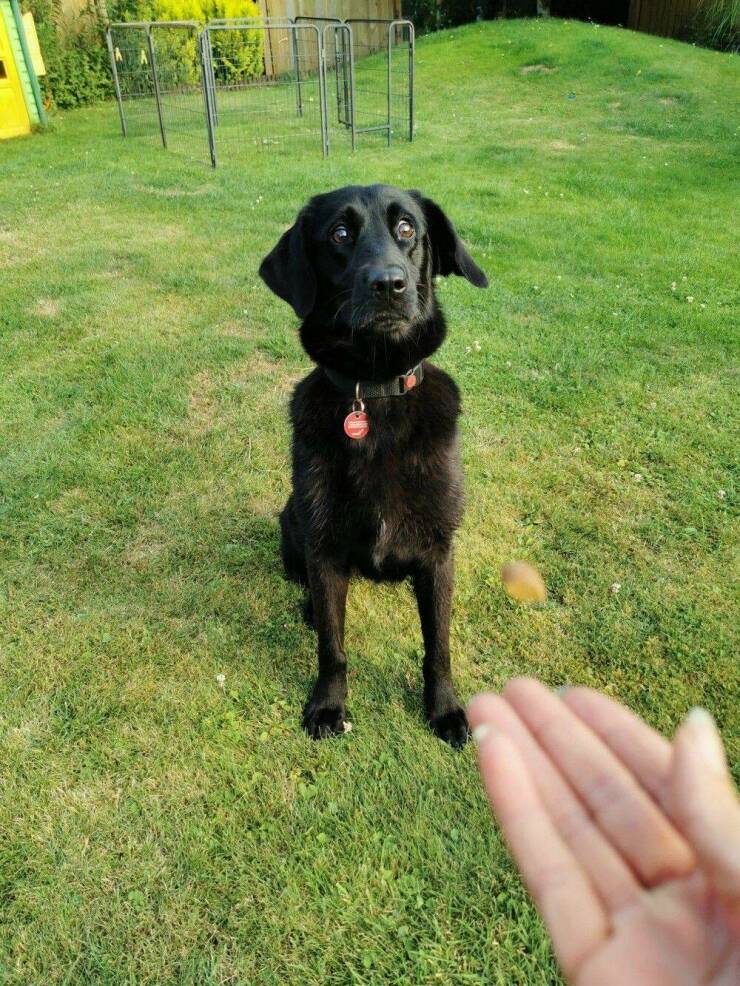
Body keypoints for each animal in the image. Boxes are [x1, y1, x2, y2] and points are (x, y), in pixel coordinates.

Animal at [258, 183, 488, 744]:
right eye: (340, 234)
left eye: (407, 228)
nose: (389, 284)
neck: (376, 390)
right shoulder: (322, 543)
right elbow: (332, 646)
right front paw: (327, 706)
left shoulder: (438, 549)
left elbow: (438, 646)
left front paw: (444, 709)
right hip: (292, 519)